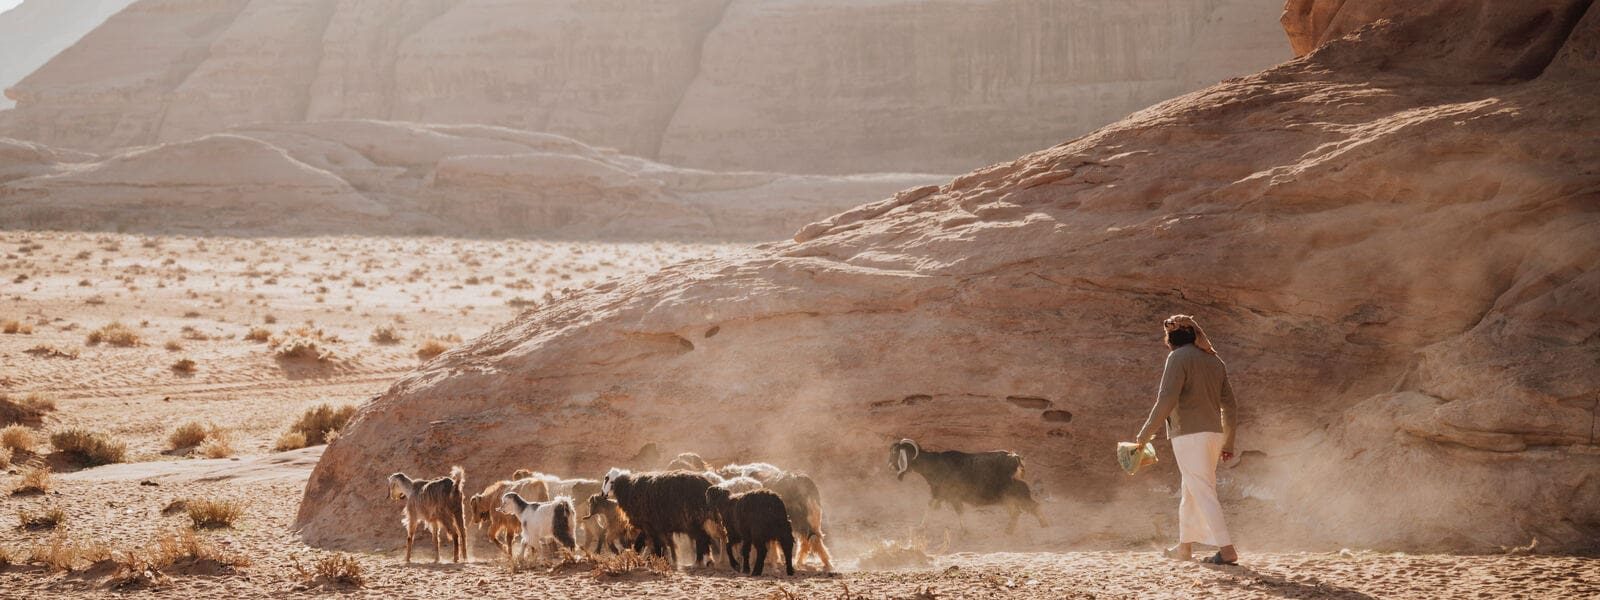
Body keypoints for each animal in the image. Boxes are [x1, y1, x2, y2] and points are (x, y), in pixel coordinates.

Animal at [889, 438, 1049, 534]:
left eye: (896, 453)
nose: (890, 465)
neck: (935, 465)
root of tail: (1015, 458)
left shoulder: (950, 495)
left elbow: (958, 511)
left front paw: (965, 531)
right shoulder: (940, 494)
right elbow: (930, 507)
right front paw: (920, 527)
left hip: (1015, 491)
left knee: (1031, 506)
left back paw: (1044, 525)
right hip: (1008, 496)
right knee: (1017, 512)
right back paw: (1009, 531)